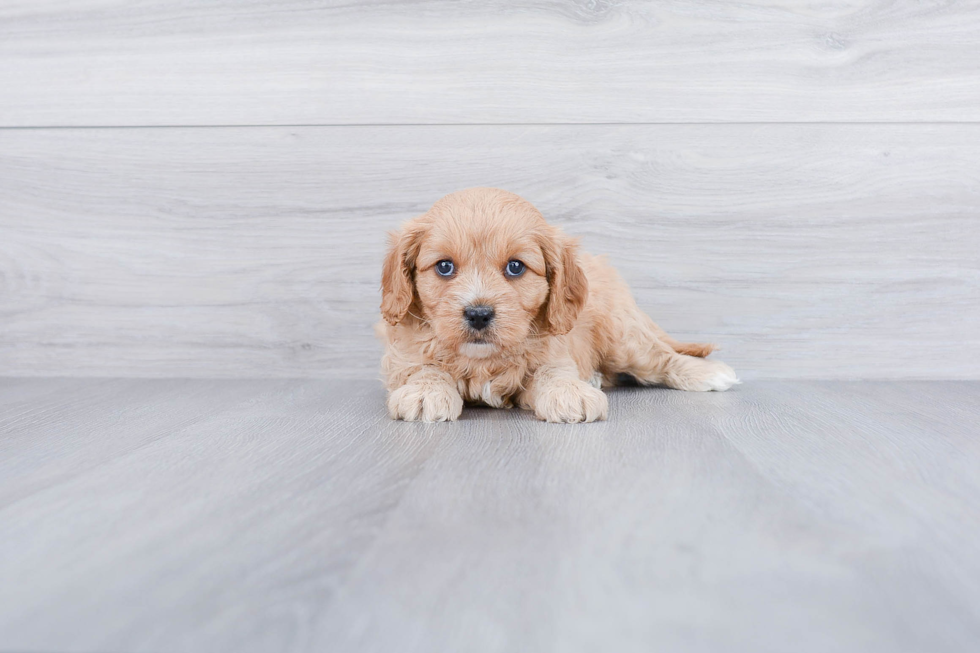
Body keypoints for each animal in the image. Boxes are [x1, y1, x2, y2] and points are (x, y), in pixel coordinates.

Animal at [378, 188, 740, 422]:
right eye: (444, 267)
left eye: (516, 267)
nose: (478, 314)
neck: (484, 360)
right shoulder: (403, 355)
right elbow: (423, 368)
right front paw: (426, 391)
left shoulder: (555, 351)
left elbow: (553, 372)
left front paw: (569, 392)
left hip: (624, 338)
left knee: (660, 357)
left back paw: (707, 372)